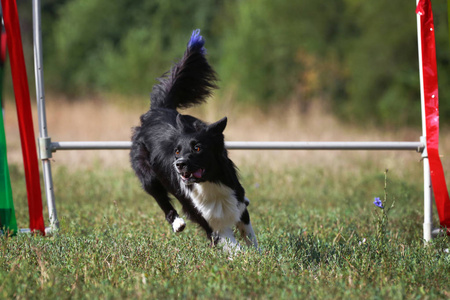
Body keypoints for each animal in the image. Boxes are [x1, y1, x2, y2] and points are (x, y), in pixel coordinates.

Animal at [129, 29, 256, 251]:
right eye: (177, 151)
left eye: (197, 148)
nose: (179, 164)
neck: (209, 183)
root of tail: (157, 110)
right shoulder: (208, 221)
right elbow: (233, 246)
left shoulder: (236, 200)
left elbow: (250, 234)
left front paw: (260, 252)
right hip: (147, 172)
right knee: (161, 198)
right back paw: (177, 222)